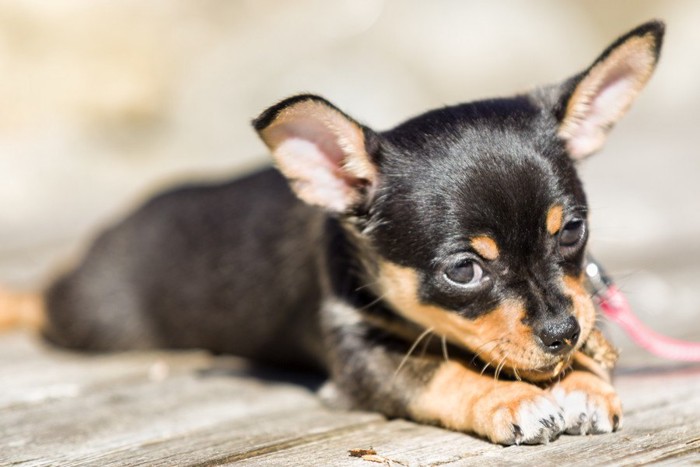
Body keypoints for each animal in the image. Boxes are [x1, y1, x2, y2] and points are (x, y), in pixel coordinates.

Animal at [0, 20, 664, 446]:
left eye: (572, 231)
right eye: (463, 270)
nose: (563, 332)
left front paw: (584, 381)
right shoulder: (363, 358)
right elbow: (441, 372)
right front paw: (514, 398)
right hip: (93, 318)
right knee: (45, 296)